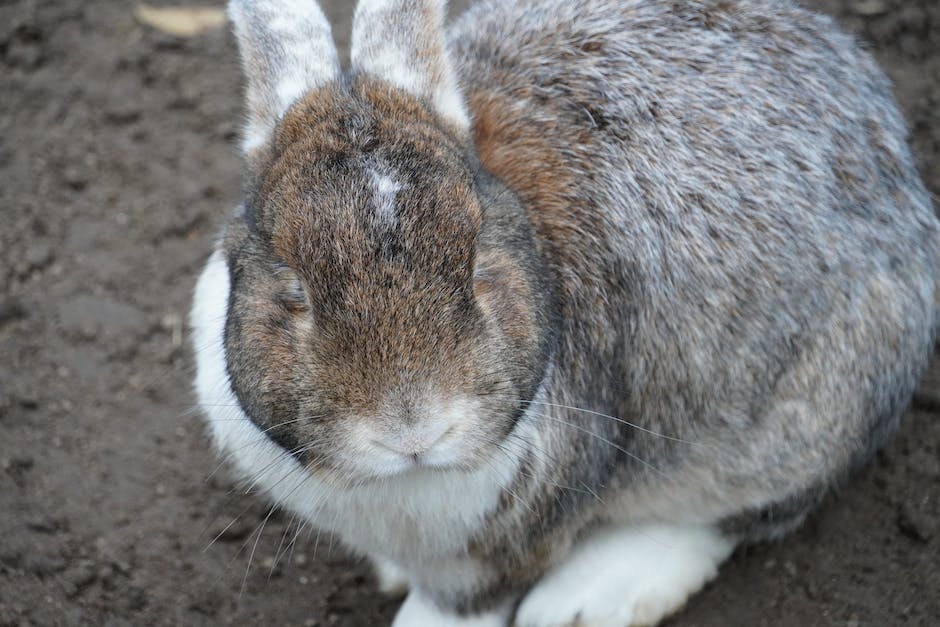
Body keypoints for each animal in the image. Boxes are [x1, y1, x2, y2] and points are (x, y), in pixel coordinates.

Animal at [191, 0, 940, 624]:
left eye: (477, 263)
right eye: (294, 291)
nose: (414, 429)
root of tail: (903, 175)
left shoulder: (503, 544)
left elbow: (462, 603)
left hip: (816, 405)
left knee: (737, 513)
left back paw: (590, 598)